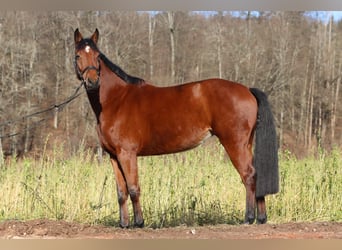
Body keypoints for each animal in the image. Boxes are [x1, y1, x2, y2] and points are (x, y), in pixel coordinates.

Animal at [73, 28, 278, 228]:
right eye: (77, 55)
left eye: (98, 56)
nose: (92, 81)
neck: (116, 100)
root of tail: (247, 90)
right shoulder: (114, 156)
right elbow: (121, 192)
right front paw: (124, 224)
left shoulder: (127, 154)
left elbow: (133, 189)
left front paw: (139, 223)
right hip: (246, 144)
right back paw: (261, 218)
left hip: (234, 144)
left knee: (248, 175)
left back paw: (248, 218)